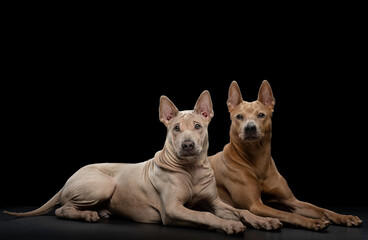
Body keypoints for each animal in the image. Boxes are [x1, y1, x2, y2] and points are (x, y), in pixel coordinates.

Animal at [208, 81, 364, 231]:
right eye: (239, 116)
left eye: (261, 115)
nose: (250, 127)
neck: (257, 161)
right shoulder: (255, 205)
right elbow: (287, 214)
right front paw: (313, 222)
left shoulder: (292, 201)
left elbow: (320, 209)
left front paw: (345, 217)